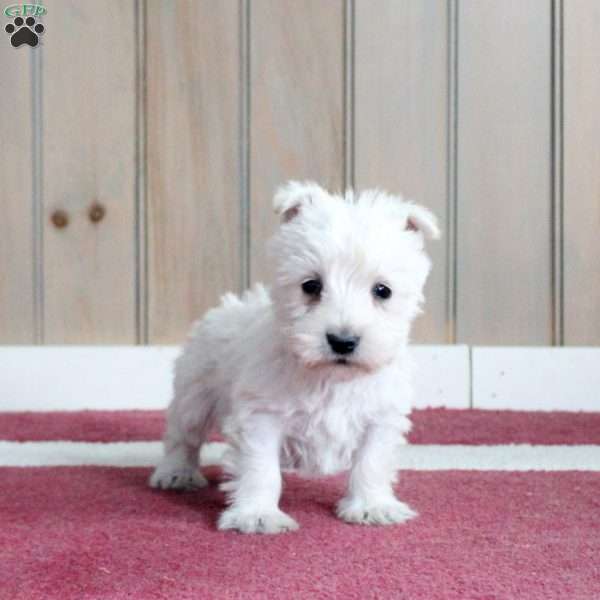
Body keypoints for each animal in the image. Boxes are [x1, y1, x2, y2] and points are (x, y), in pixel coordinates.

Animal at [150, 180, 440, 532]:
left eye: (382, 290)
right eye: (311, 285)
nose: (343, 341)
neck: (329, 377)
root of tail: (232, 303)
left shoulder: (380, 417)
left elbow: (371, 462)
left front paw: (372, 506)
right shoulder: (261, 416)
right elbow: (261, 469)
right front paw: (257, 515)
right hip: (195, 393)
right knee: (182, 435)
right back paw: (176, 473)